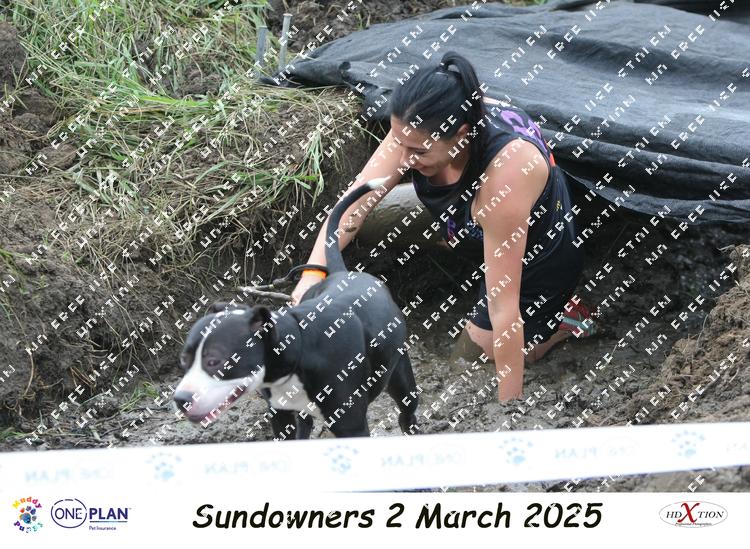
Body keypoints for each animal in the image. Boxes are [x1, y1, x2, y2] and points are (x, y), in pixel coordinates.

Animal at [173, 177, 419, 439]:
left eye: (215, 362)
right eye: (183, 360)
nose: (181, 399)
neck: (298, 348)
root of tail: (343, 273)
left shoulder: (352, 426)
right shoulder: (280, 415)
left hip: (401, 378)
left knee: (407, 410)